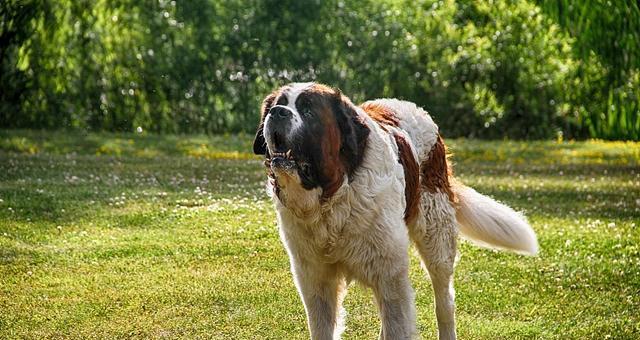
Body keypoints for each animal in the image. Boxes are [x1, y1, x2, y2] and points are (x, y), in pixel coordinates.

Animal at [252, 83, 536, 340]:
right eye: (278, 104)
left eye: (308, 110)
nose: (277, 112)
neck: (333, 198)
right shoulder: (315, 279)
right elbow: (323, 327)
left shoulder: (390, 275)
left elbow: (398, 324)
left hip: (437, 239)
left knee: (444, 302)